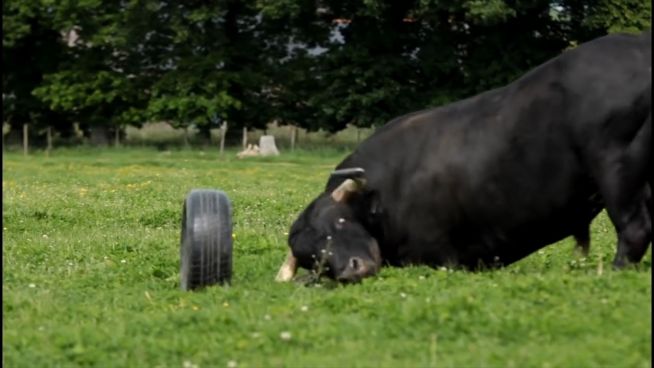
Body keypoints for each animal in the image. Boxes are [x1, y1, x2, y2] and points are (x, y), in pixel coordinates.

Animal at [276, 32, 652, 284]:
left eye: (339, 222)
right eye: (313, 260)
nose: (351, 270)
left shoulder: (440, 256)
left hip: (616, 169)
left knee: (634, 229)